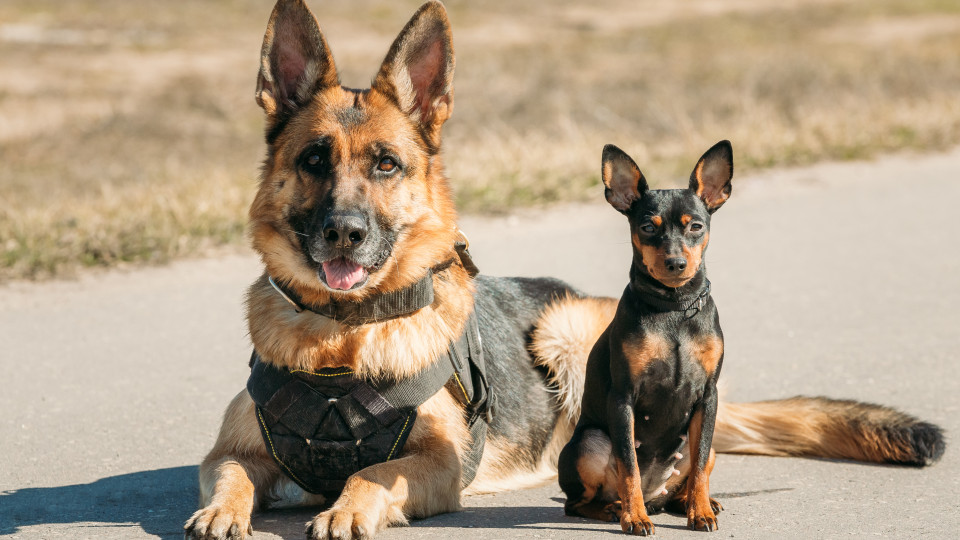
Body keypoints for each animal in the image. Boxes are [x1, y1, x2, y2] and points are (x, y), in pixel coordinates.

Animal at [556, 141, 736, 532]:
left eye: (696, 226)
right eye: (647, 228)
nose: (676, 263)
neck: (674, 308)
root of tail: (657, 497)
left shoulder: (708, 397)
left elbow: (700, 464)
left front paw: (700, 512)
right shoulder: (623, 398)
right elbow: (629, 467)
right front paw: (634, 518)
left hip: (707, 443)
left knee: (690, 475)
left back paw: (692, 503)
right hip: (590, 442)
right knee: (578, 503)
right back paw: (616, 509)